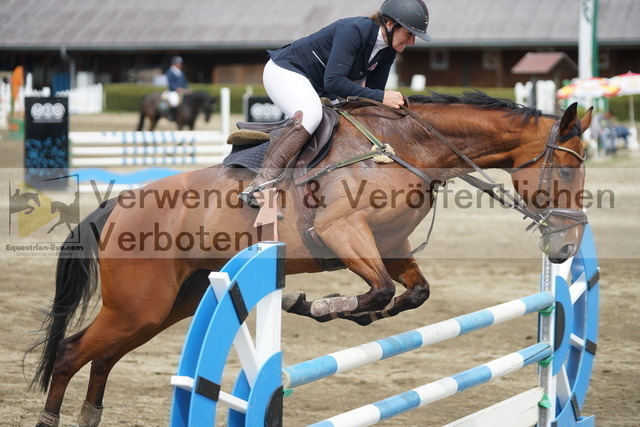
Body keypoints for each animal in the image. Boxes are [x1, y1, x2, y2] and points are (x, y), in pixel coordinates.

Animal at [28, 92, 592, 426]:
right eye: (565, 170)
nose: (565, 248)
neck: (405, 146)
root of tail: (118, 204)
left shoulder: (390, 243)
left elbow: (411, 292)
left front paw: (355, 312)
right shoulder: (342, 231)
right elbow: (381, 288)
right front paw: (314, 304)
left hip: (167, 307)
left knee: (102, 357)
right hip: (138, 305)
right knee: (72, 353)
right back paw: (49, 419)